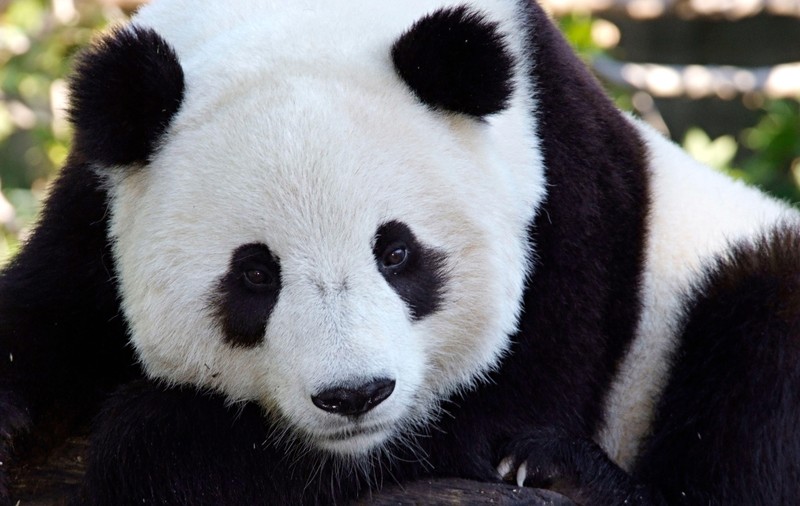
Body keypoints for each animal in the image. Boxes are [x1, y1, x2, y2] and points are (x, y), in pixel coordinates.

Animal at [1, 0, 799, 504]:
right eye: (254, 273)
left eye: (396, 253)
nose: (355, 395)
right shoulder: (98, 196)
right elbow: (48, 304)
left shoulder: (568, 201)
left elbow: (495, 414)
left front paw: (159, 439)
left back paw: (564, 473)